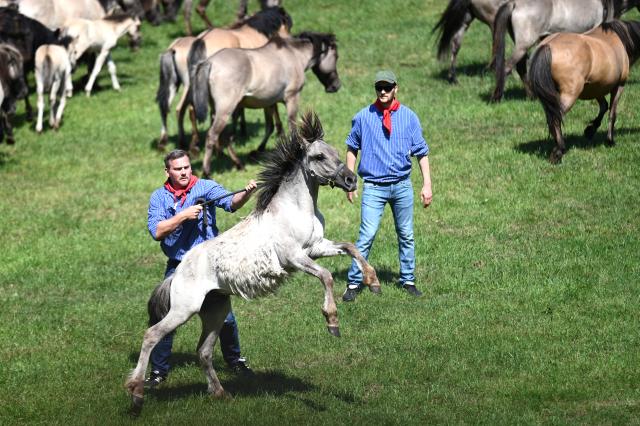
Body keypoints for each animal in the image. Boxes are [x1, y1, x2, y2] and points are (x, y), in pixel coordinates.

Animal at [125, 111, 381, 415]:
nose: (351, 180)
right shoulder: (295, 257)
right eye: (319, 156)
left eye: (336, 153)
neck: (295, 209)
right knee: (152, 336)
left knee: (204, 351)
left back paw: (220, 393)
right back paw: (137, 394)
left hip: (216, 309)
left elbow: (351, 248)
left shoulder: (317, 248)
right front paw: (332, 322)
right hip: (183, 310)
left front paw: (373, 282)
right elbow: (326, 276)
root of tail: (176, 273)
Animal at [157, 6, 292, 151]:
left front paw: (241, 130)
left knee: (178, 109)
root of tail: (201, 40)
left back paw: (181, 143)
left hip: (185, 85)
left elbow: (241, 108)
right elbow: (272, 105)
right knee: (193, 110)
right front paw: (279, 131)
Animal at [190, 32, 341, 175]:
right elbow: (291, 125)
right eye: (336, 56)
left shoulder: (269, 102)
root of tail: (210, 62)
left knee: (224, 136)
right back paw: (207, 171)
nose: (336, 86)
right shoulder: (292, 98)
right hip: (226, 109)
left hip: (222, 110)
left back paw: (239, 164)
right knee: (212, 135)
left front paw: (258, 150)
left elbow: (270, 126)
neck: (294, 55)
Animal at [491, 0, 640, 102]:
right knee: (507, 67)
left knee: (520, 68)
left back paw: (532, 96)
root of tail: (515, 3)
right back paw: (497, 97)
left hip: (522, 45)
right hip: (524, 44)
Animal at [528, 20, 640, 163]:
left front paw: (590, 130)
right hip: (570, 95)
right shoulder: (619, 86)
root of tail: (547, 46)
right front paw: (610, 140)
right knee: (556, 118)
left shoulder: (596, 88)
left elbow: (604, 107)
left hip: (549, 98)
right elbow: (612, 113)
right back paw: (559, 151)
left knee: (551, 118)